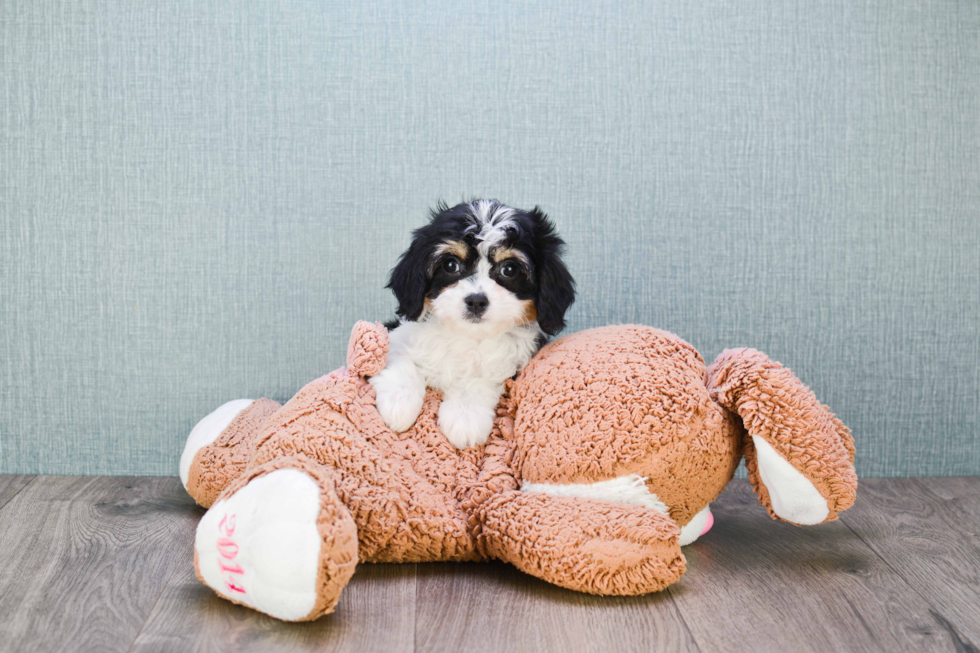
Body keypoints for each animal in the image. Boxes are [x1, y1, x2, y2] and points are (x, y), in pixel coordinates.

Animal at [372, 200, 580, 448]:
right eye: (450, 265)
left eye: (509, 269)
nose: (476, 301)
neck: (468, 337)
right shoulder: (399, 334)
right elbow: (401, 358)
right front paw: (398, 401)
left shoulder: (505, 367)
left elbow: (478, 383)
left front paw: (465, 416)